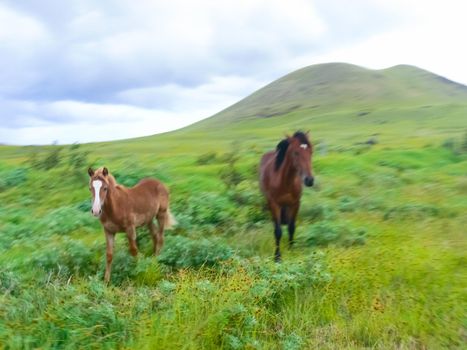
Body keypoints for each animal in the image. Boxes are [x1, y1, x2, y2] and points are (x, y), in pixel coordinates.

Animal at [260, 131, 314, 260]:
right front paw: (277, 256)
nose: (309, 180)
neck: (285, 182)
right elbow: (278, 231)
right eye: (296, 152)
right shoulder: (274, 204)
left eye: (311, 151)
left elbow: (291, 227)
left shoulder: (295, 204)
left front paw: (291, 250)